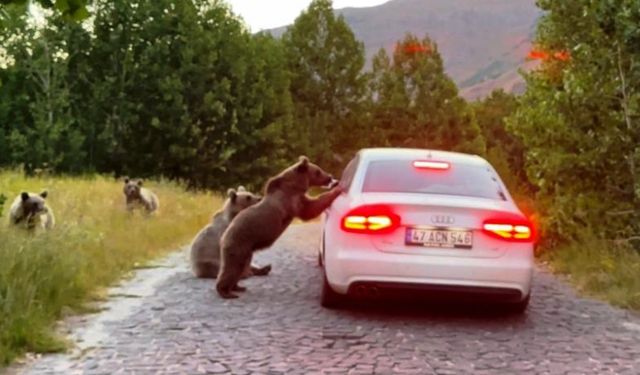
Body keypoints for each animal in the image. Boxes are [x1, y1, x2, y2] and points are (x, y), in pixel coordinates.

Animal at [216, 156, 344, 300]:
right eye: (318, 171)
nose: (330, 177)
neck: (296, 185)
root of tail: (224, 236)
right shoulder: (292, 200)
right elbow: (310, 208)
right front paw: (337, 190)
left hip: (246, 250)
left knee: (241, 266)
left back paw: (238, 287)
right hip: (239, 243)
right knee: (233, 267)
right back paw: (226, 292)